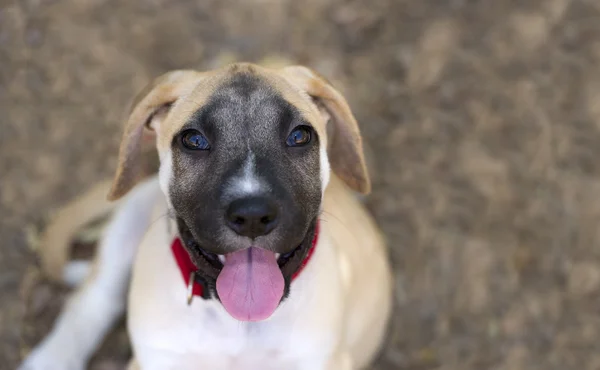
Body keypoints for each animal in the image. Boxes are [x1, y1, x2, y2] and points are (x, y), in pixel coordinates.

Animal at [19, 63, 394, 370]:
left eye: (300, 136)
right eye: (194, 140)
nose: (252, 215)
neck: (238, 323)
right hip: (129, 222)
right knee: (93, 301)